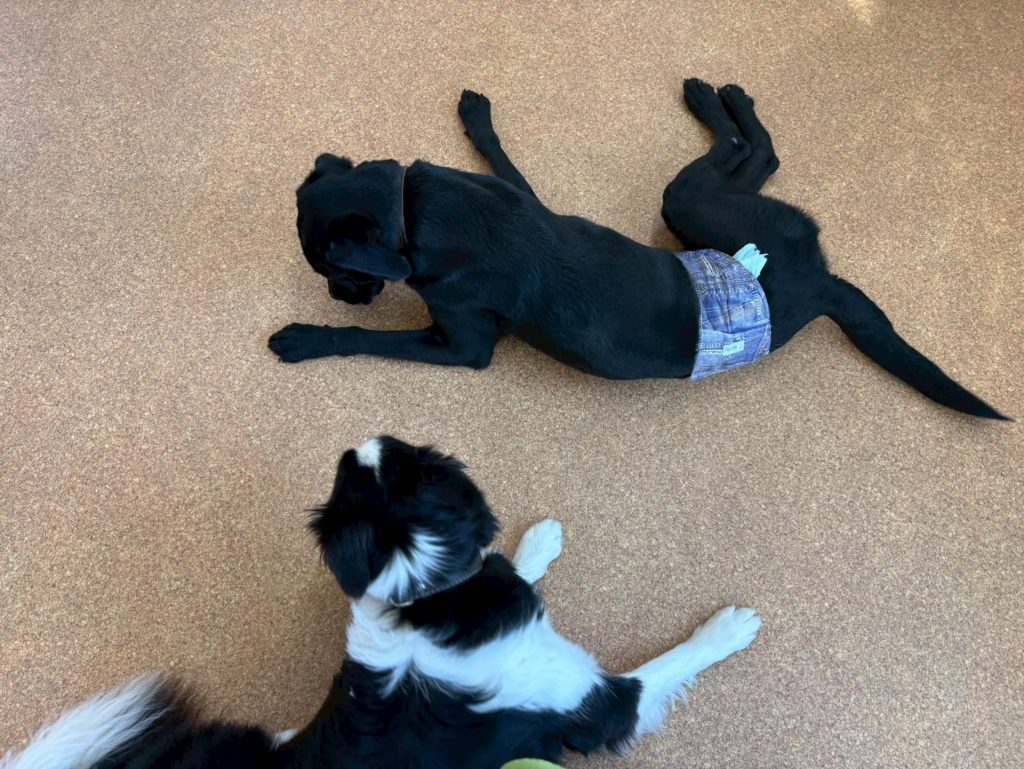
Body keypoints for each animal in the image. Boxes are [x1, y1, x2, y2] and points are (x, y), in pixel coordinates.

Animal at [2, 437, 761, 769]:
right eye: (412, 459)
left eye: (358, 471)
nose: (364, 437)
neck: (422, 602)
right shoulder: (593, 703)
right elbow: (669, 664)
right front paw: (729, 628)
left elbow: (506, 562)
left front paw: (537, 539)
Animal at [268, 80, 1005, 419]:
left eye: (331, 268)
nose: (340, 295)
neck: (411, 208)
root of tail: (821, 283)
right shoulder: (517, 194)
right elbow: (503, 156)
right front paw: (477, 117)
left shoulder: (465, 346)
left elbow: (370, 341)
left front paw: (306, 337)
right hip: (701, 216)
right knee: (759, 157)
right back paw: (720, 94)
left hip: (689, 204)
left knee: (751, 149)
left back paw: (714, 97)